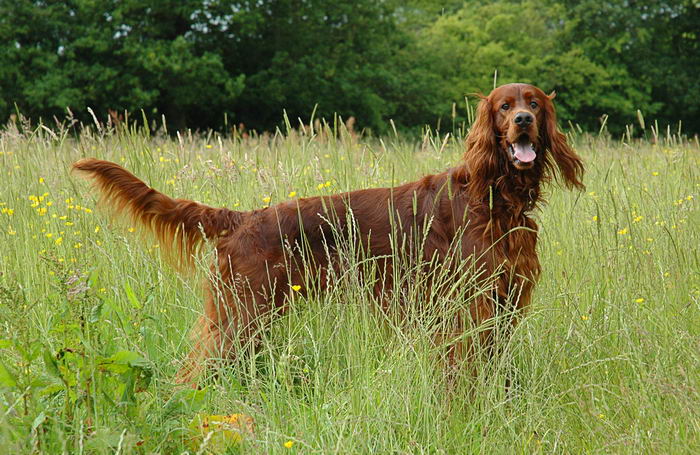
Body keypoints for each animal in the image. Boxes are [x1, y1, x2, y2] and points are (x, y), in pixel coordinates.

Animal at [74, 83, 584, 382]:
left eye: (534, 104)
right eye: (504, 107)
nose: (523, 121)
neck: (494, 194)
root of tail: (244, 218)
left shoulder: (502, 299)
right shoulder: (466, 304)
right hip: (242, 314)